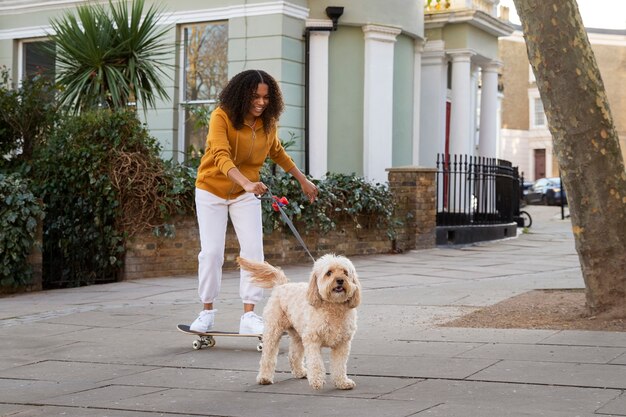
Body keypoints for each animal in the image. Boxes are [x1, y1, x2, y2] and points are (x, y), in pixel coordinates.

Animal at [236, 254, 358, 390]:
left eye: (345, 272)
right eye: (329, 273)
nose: (340, 280)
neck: (333, 306)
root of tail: (281, 285)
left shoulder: (342, 344)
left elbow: (340, 365)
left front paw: (342, 382)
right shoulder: (312, 340)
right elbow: (315, 362)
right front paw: (317, 380)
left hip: (297, 335)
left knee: (294, 354)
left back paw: (299, 372)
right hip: (273, 332)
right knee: (268, 356)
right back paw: (264, 378)